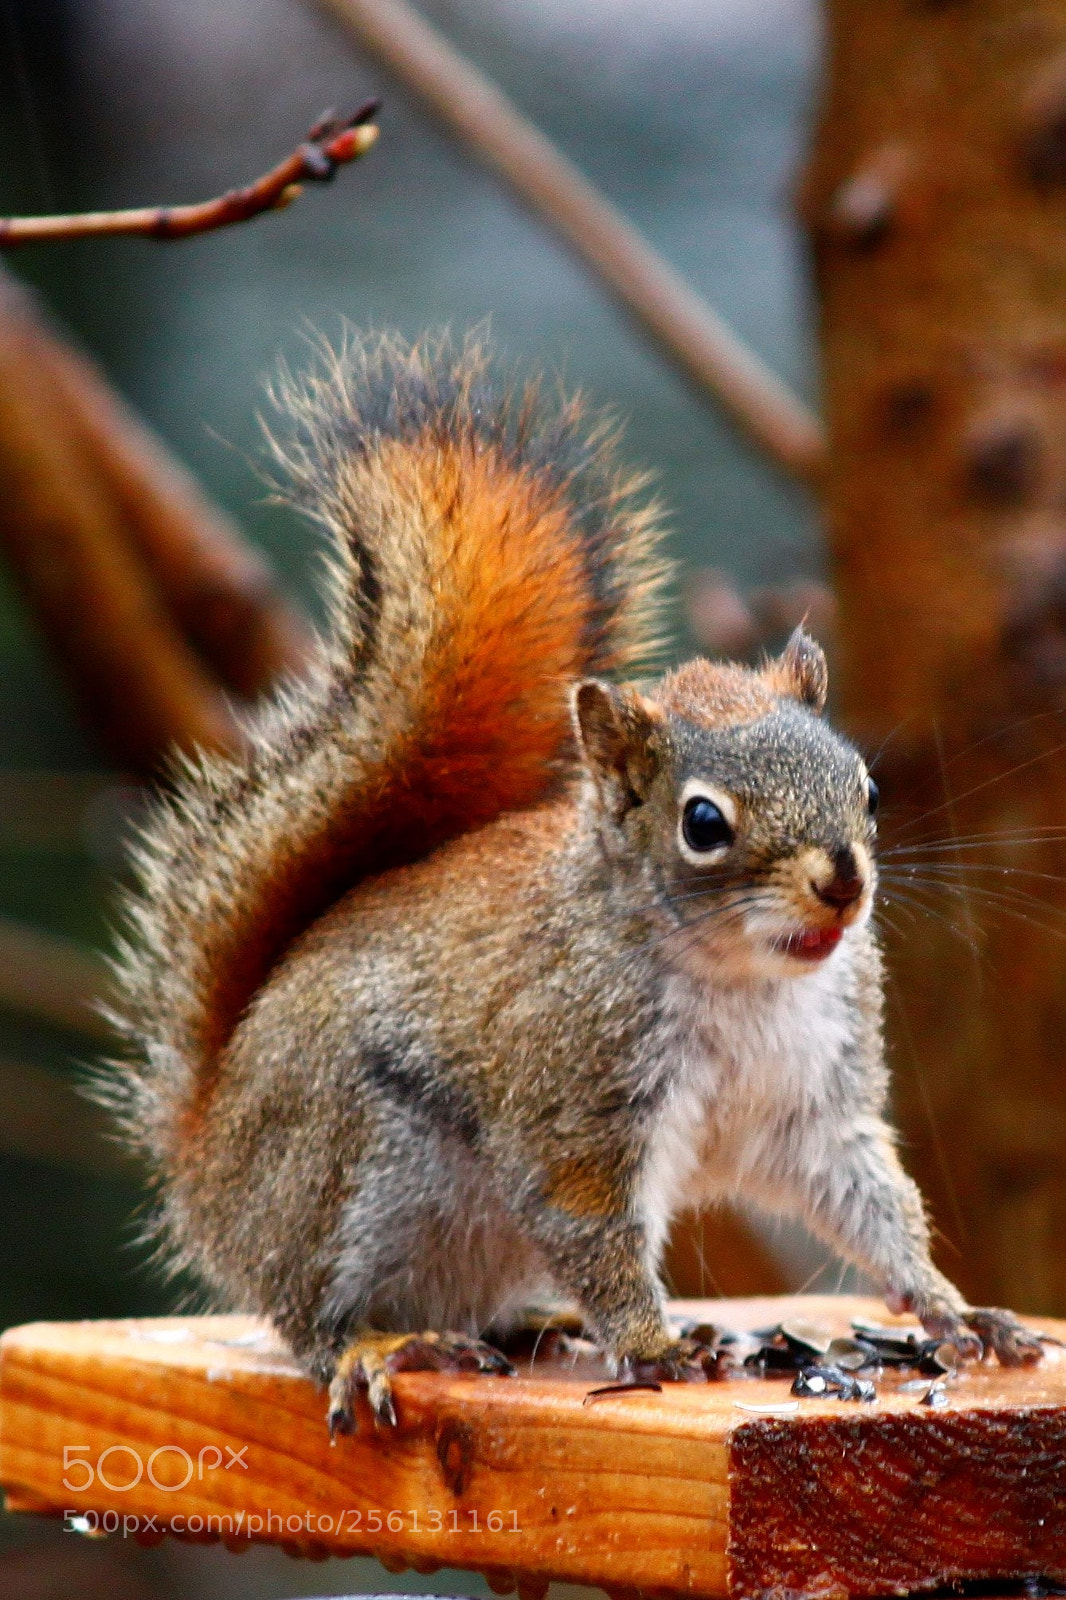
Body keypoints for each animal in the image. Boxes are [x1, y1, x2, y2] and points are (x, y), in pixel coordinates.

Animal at [106, 332, 1042, 1433]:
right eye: (703, 824)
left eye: (867, 786)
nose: (842, 886)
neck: (744, 978)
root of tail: (203, 1162)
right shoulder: (575, 1091)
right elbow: (589, 1221)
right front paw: (655, 1343)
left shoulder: (819, 1097)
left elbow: (866, 1198)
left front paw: (955, 1309)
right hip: (357, 1167)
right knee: (311, 1316)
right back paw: (388, 1343)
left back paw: (537, 1322)